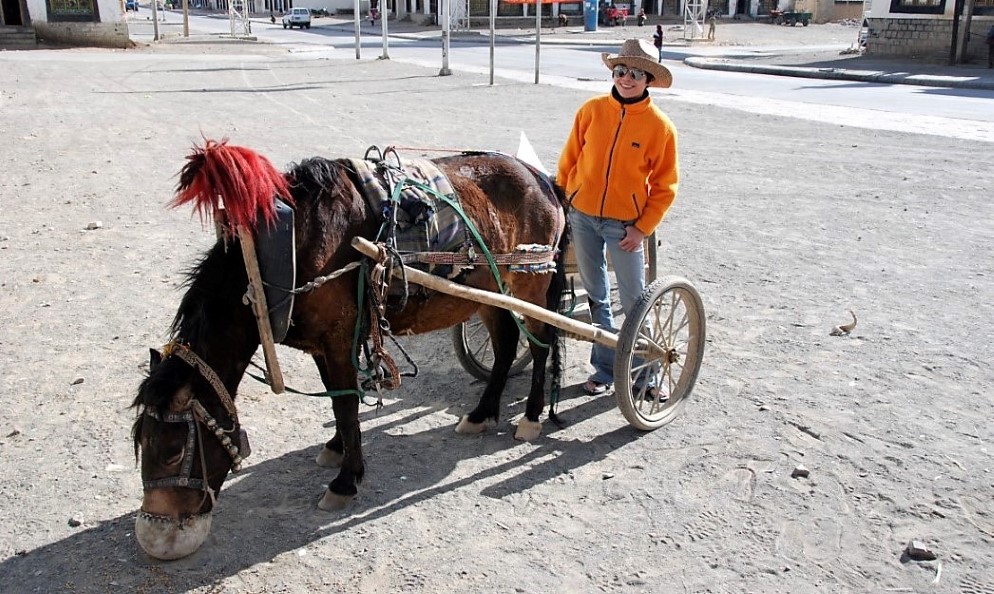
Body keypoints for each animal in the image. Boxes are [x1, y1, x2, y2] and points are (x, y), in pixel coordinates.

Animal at [128, 140, 568, 560]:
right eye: (142, 443)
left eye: (173, 451)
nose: (154, 537)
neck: (286, 252)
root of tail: (540, 178)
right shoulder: (323, 345)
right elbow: (338, 401)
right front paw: (337, 449)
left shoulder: (339, 339)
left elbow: (346, 404)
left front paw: (345, 480)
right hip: (489, 291)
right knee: (506, 345)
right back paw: (480, 413)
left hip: (530, 284)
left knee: (540, 344)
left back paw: (531, 416)